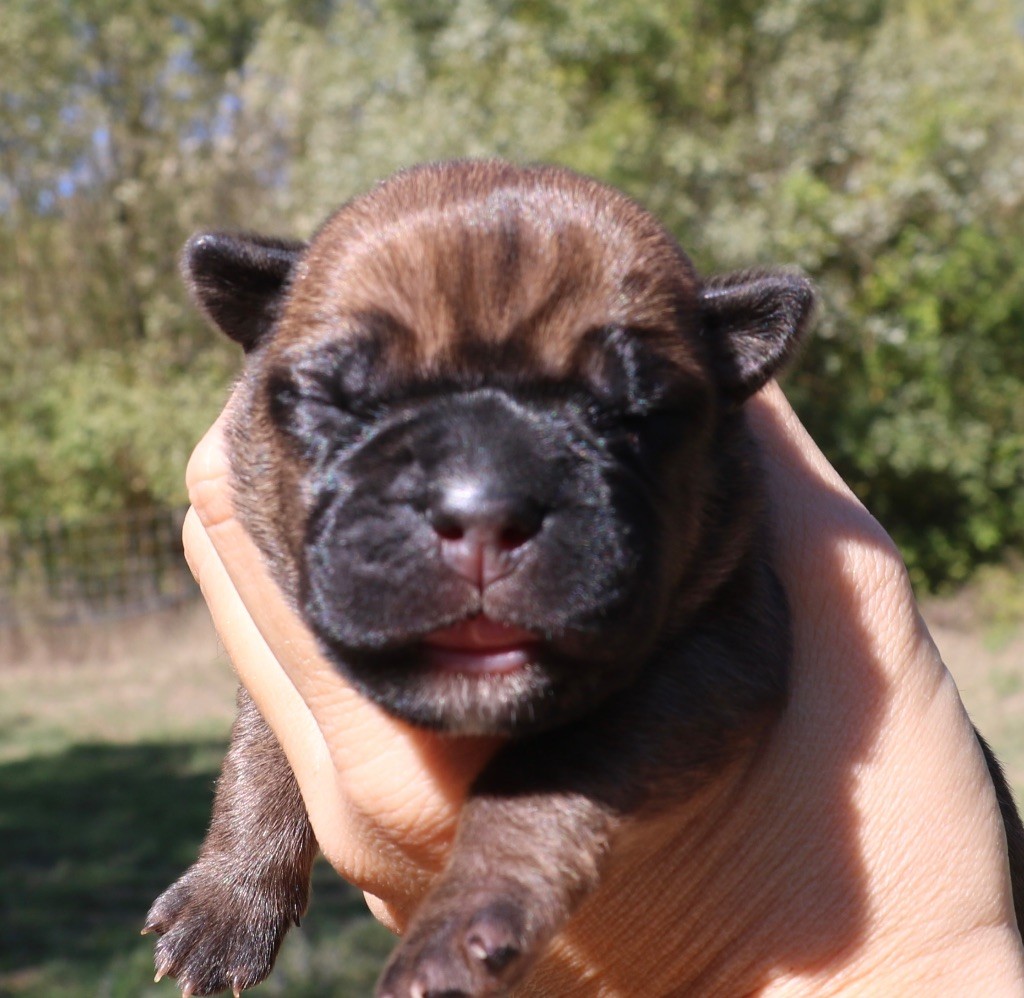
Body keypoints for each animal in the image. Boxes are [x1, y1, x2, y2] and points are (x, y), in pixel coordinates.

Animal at [144, 159, 1024, 994]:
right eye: (338, 401)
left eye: (632, 416)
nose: (484, 508)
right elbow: (260, 746)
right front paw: (229, 895)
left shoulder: (714, 652)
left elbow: (546, 775)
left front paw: (461, 918)